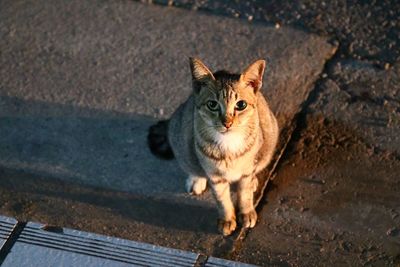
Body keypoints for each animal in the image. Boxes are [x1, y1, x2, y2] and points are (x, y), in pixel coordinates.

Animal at [148, 58, 278, 237]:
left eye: (241, 105)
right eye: (212, 104)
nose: (227, 123)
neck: (229, 143)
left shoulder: (247, 169)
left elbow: (244, 193)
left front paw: (246, 212)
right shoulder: (214, 176)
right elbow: (222, 198)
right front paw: (227, 219)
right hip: (181, 139)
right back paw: (196, 179)